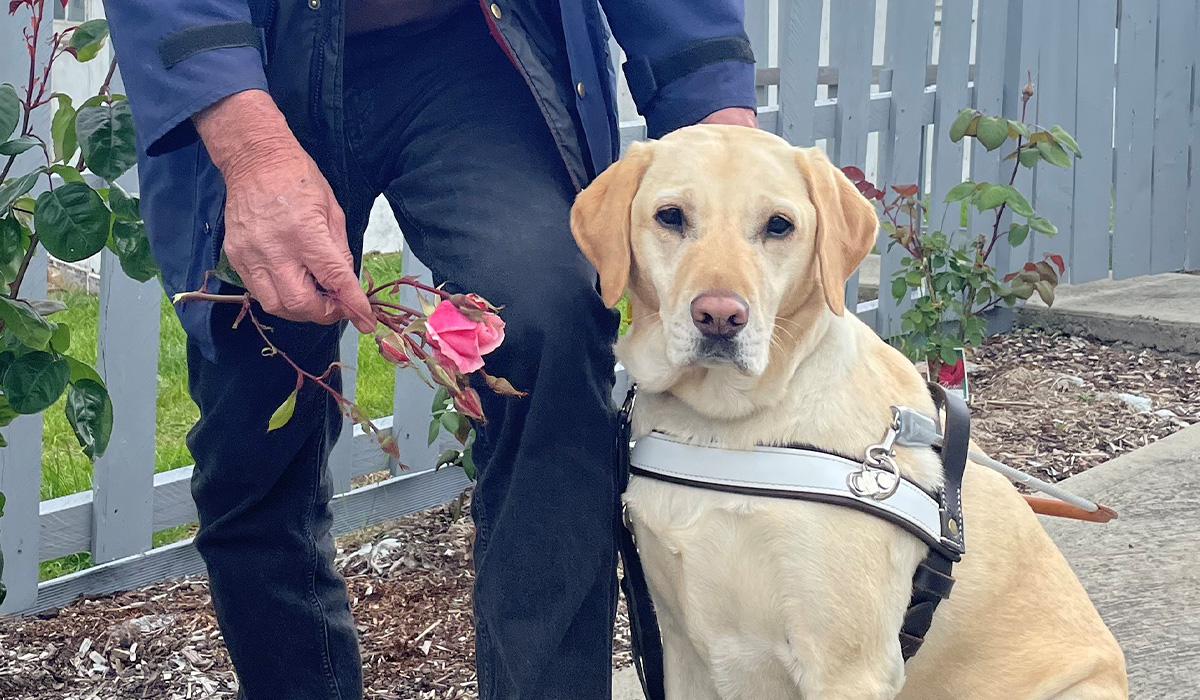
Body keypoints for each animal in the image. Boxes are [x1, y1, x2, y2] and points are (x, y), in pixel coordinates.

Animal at [571, 127, 1123, 700]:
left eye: (779, 225)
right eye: (671, 216)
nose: (720, 316)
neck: (723, 429)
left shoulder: (847, 668)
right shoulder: (681, 649)